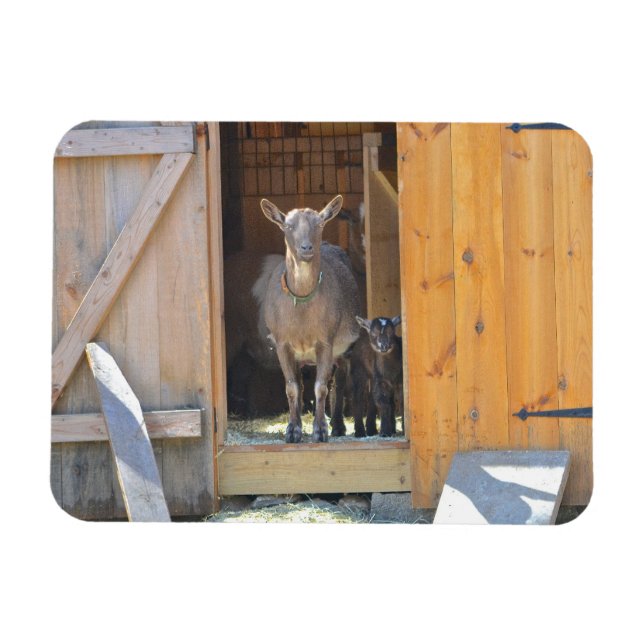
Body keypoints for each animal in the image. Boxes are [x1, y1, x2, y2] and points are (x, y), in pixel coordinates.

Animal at [258, 195, 360, 442]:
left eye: (319, 223)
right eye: (288, 225)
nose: (306, 248)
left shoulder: (326, 340)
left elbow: (321, 386)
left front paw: (320, 430)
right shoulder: (282, 342)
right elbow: (292, 387)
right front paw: (292, 430)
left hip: (345, 348)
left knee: (339, 382)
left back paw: (338, 425)